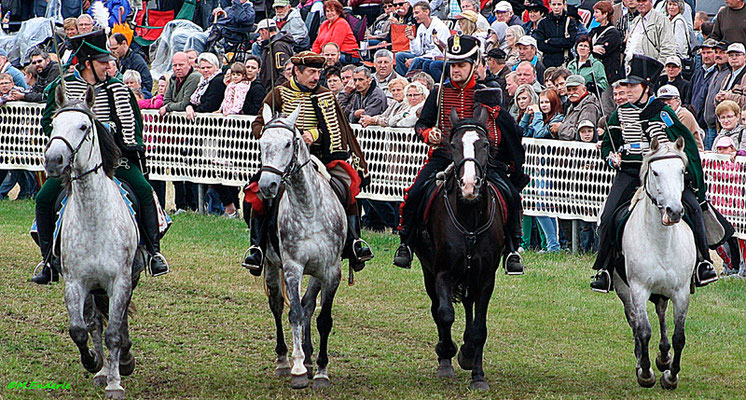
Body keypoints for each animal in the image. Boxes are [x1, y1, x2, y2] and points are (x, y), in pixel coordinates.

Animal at [43, 86, 144, 398]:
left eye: (84, 126)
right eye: (53, 125)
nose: (54, 160)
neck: (94, 220)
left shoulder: (120, 281)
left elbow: (115, 332)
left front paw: (116, 381)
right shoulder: (75, 283)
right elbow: (80, 329)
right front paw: (93, 362)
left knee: (116, 324)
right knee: (95, 322)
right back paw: (102, 370)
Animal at [256, 104, 346, 390]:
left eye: (288, 143)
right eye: (262, 143)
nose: (267, 186)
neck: (309, 210)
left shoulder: (330, 271)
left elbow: (322, 319)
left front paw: (320, 370)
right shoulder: (293, 267)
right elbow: (293, 313)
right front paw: (297, 369)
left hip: (316, 273)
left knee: (308, 305)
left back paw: (308, 356)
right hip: (272, 266)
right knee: (276, 304)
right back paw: (285, 359)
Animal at [412, 107, 506, 390]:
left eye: (484, 144)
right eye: (453, 145)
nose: (469, 185)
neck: (470, 218)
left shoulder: (485, 278)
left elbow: (479, 328)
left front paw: (476, 371)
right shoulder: (442, 272)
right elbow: (444, 314)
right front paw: (448, 352)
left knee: (468, 306)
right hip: (430, 272)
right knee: (438, 308)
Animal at [612, 138, 696, 390]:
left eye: (682, 171)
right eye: (656, 172)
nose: (674, 211)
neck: (662, 243)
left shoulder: (681, 292)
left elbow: (679, 336)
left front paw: (671, 375)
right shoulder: (638, 289)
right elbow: (643, 331)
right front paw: (646, 373)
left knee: (661, 313)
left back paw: (664, 356)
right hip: (624, 289)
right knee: (634, 321)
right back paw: (642, 360)